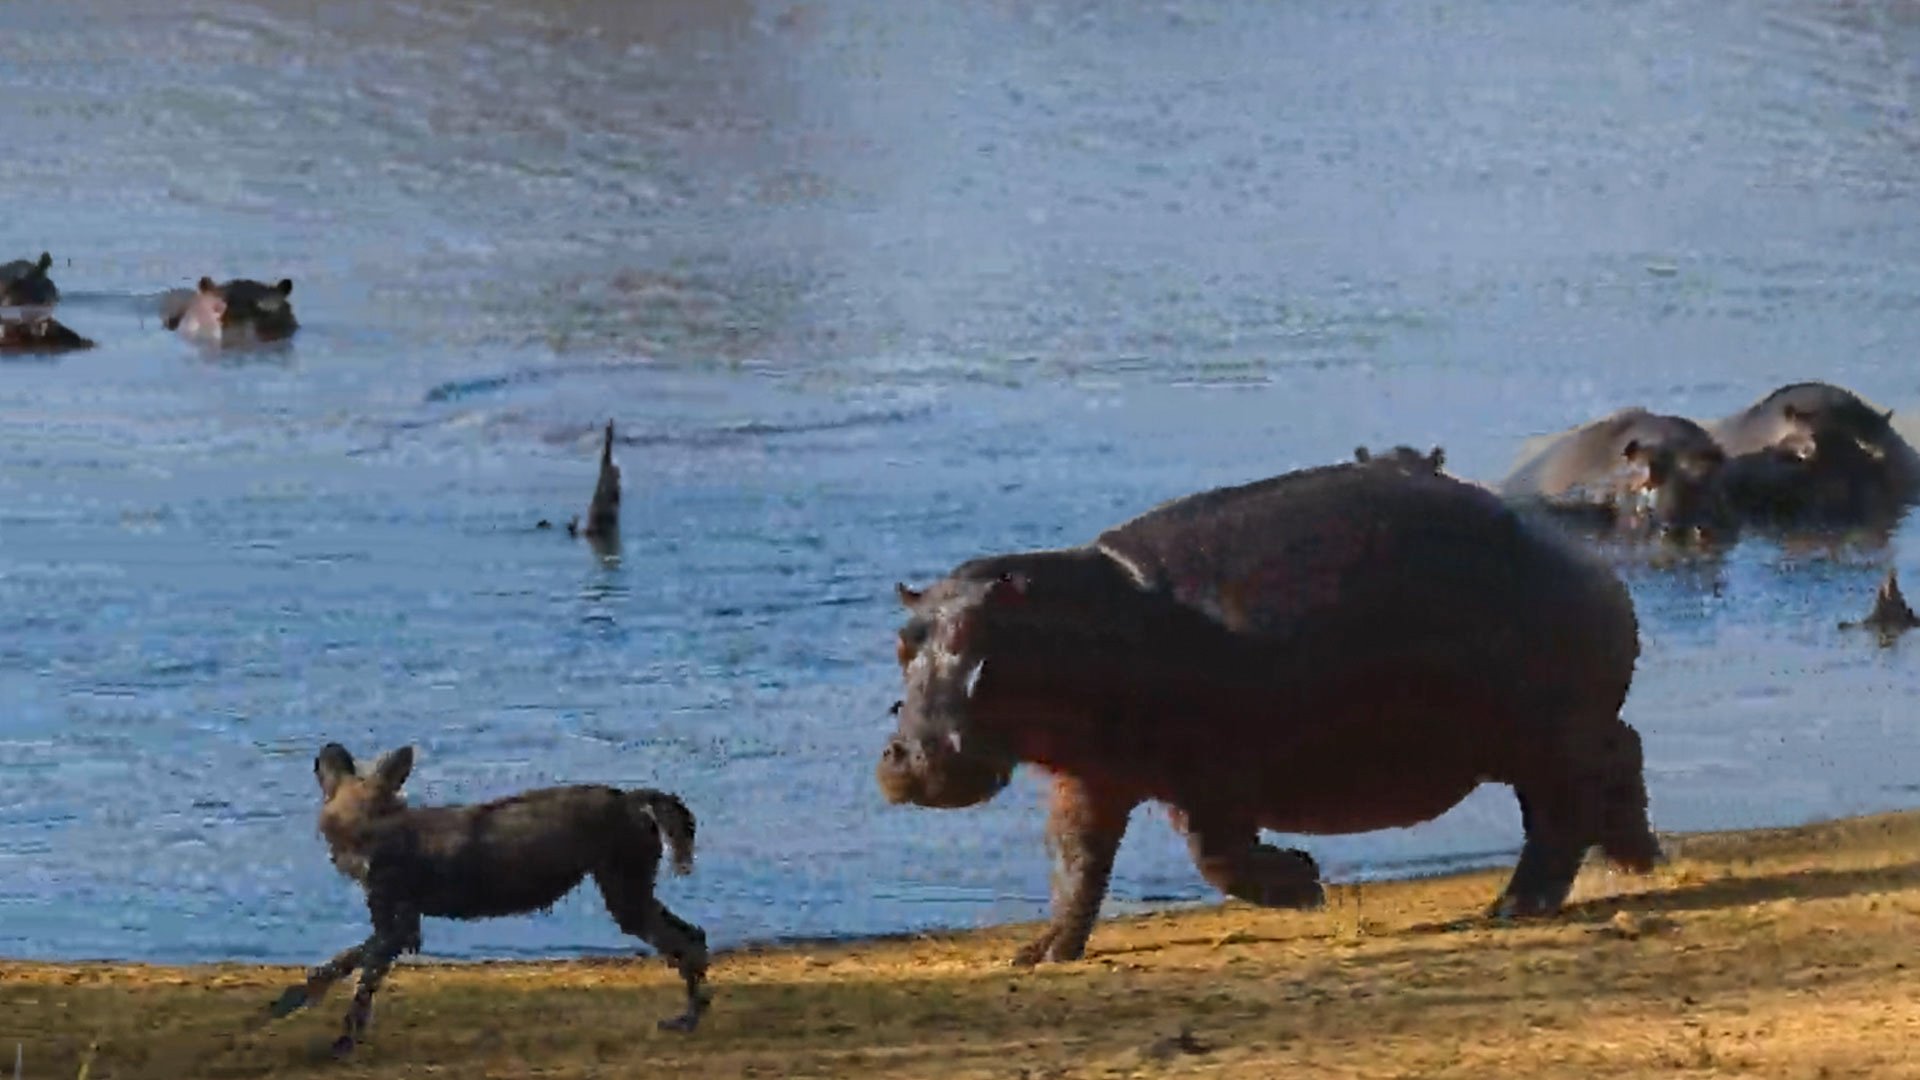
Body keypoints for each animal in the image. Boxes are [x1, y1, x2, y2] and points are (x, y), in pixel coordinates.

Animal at [880, 460, 1659, 965]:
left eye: (982, 644)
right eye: (901, 642)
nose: (909, 758)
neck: (1081, 621)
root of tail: (1586, 559)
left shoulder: (1212, 772)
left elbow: (1216, 856)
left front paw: (1305, 883)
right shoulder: (1090, 778)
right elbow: (1076, 864)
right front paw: (1040, 954)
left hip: (1543, 735)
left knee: (1564, 810)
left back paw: (1514, 907)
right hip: (1542, 736)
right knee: (1617, 760)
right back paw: (1636, 861)